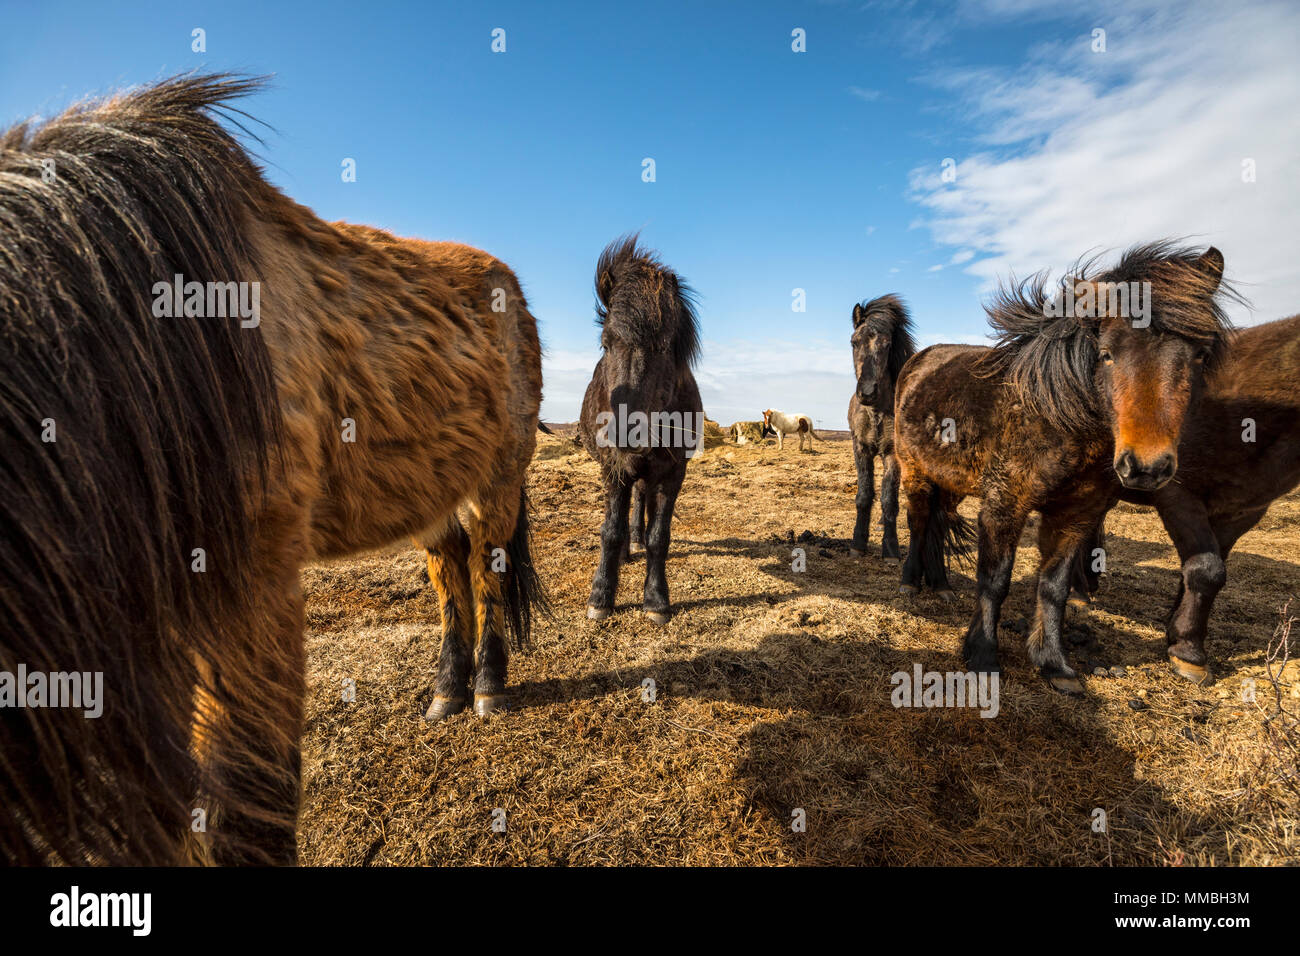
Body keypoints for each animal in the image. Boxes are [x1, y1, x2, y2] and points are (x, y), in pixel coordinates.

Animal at [0, 74, 543, 868]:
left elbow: (244, 811)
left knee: (490, 571)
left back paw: (490, 690)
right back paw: (447, 691)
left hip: (498, 481)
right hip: (435, 493)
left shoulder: (252, 593)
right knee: (452, 575)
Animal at [579, 235, 702, 624]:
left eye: (663, 347)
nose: (624, 432)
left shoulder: (673, 472)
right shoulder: (613, 468)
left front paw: (656, 600)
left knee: (641, 503)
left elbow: (658, 535)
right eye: (605, 343)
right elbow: (610, 530)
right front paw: (601, 596)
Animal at [842, 291, 915, 561]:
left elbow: (889, 499)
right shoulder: (860, 449)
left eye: (886, 345)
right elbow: (864, 495)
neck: (876, 413)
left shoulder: (892, 454)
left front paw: (890, 548)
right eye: (854, 342)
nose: (867, 393)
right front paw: (857, 544)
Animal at [899, 244, 1232, 697]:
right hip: (913, 472)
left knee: (938, 520)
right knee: (919, 523)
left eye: (1198, 355)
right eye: (1107, 354)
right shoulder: (1005, 505)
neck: (1055, 412)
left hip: (950, 480)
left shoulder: (1078, 514)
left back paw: (941, 584)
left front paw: (1053, 663)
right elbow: (994, 580)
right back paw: (910, 582)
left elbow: (1054, 587)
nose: (1146, 466)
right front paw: (982, 654)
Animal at [1076, 312, 1300, 681]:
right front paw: (1189, 652)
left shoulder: (1241, 513)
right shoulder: (1178, 494)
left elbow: (1204, 567)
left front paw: (1177, 628)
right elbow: (1206, 569)